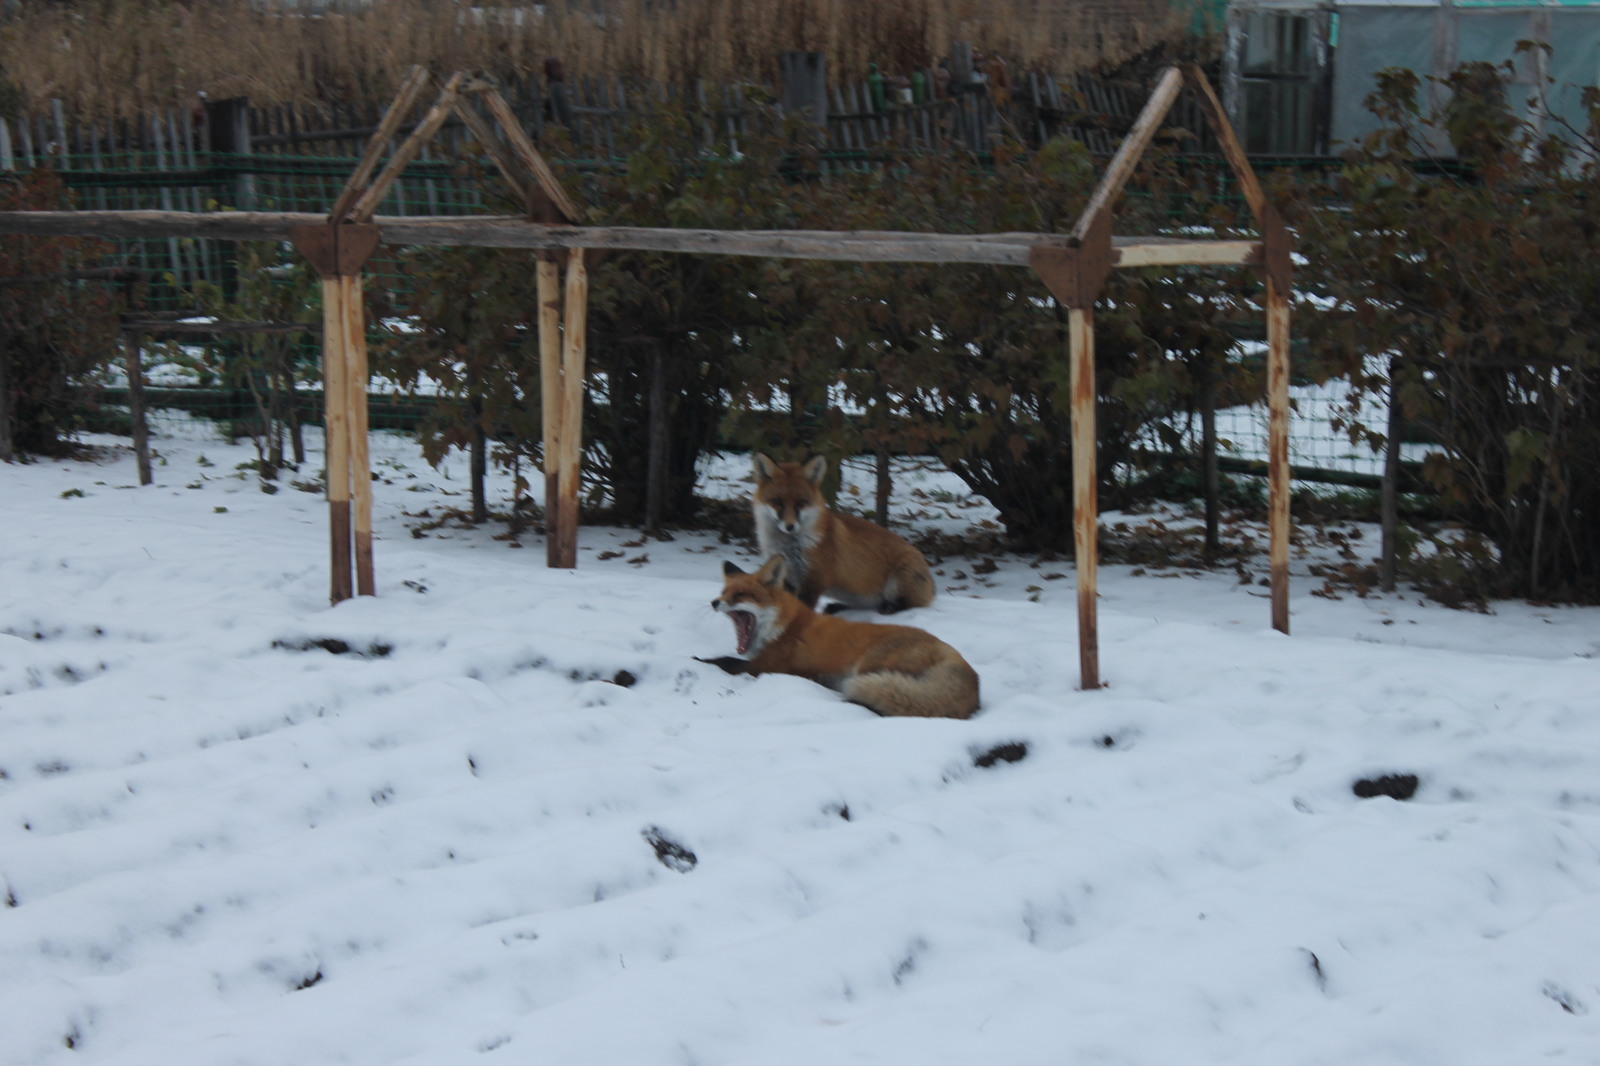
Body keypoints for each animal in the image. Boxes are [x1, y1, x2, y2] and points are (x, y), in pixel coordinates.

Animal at [710, 550, 979, 717]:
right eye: (724, 592)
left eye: (740, 595)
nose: (714, 602)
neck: (785, 626)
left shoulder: (765, 666)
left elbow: (722, 661)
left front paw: (702, 661)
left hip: (868, 667)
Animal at [752, 451, 934, 614]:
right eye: (777, 502)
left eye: (801, 503)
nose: (790, 526)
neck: (788, 548)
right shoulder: (786, 578)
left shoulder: (814, 580)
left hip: (896, 584)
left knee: (909, 604)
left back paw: (890, 608)